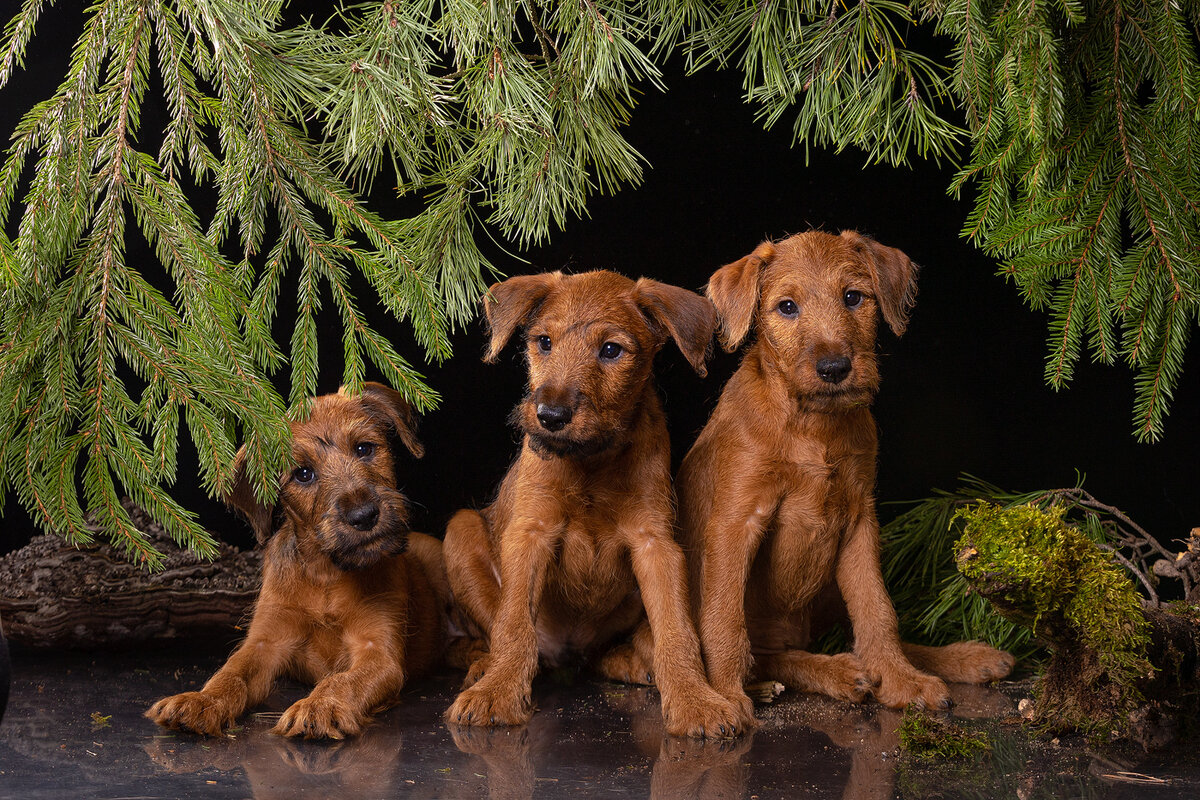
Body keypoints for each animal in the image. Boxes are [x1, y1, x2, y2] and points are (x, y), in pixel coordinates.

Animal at [147, 383, 448, 743]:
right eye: (303, 474)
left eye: (364, 449)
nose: (364, 516)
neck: (326, 574)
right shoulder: (265, 641)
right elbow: (230, 674)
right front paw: (201, 701)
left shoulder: (378, 651)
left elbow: (342, 679)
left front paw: (320, 706)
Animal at [441, 268, 739, 738]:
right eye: (544, 342)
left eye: (611, 350)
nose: (550, 416)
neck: (592, 462)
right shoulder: (530, 534)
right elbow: (513, 624)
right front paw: (498, 691)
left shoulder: (656, 545)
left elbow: (676, 629)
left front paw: (694, 699)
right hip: (461, 529)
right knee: (497, 636)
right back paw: (485, 668)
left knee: (606, 653)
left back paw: (633, 663)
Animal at [676, 232, 1012, 724]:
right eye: (787, 307)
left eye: (853, 297)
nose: (834, 368)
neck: (812, 425)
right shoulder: (735, 524)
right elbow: (723, 621)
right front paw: (722, 694)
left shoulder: (859, 520)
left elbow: (877, 612)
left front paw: (900, 679)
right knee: (767, 654)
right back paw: (837, 672)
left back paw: (961, 659)